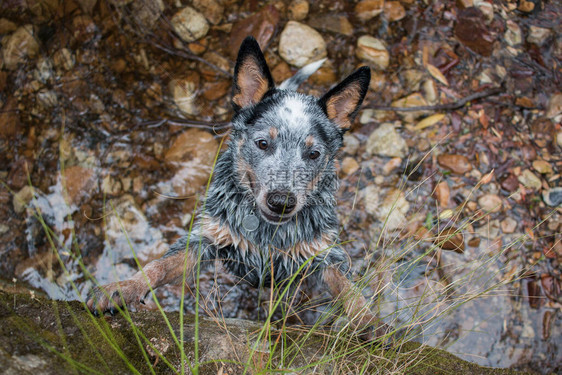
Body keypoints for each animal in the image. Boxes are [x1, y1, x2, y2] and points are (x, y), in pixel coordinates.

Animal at [87, 37, 384, 340]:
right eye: (263, 143)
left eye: (313, 153)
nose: (281, 201)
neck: (267, 235)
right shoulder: (208, 238)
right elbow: (158, 265)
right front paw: (124, 287)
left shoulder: (323, 254)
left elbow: (349, 287)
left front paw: (368, 320)